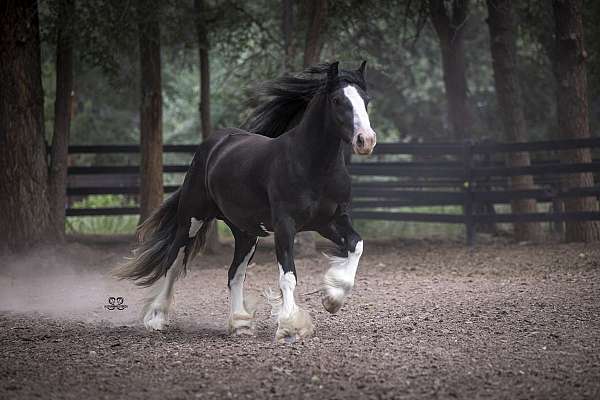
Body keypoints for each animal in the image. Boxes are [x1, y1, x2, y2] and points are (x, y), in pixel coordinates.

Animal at [115, 61, 378, 342]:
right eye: (338, 100)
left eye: (366, 99)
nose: (366, 140)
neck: (313, 166)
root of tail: (214, 144)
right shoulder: (285, 225)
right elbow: (288, 276)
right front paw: (290, 326)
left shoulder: (330, 221)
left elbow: (357, 245)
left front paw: (332, 299)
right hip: (192, 219)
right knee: (174, 263)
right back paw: (157, 318)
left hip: (246, 233)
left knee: (234, 273)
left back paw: (240, 323)